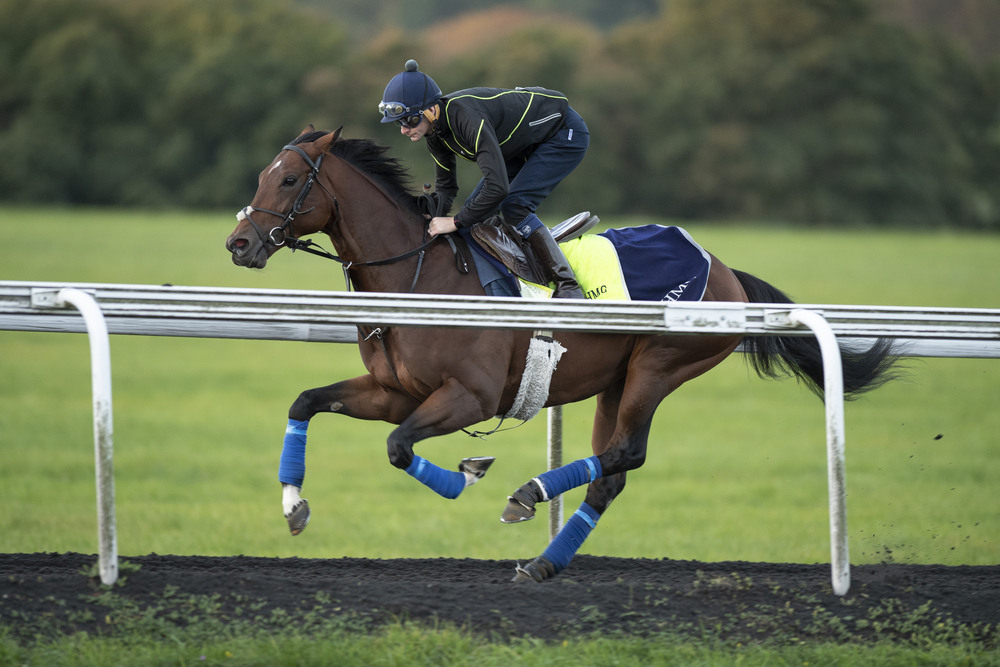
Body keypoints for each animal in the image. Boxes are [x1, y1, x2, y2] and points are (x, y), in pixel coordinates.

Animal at [227, 126, 900, 584]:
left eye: (289, 179)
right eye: (263, 174)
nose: (238, 244)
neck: (421, 276)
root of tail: (727, 270)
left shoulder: (468, 396)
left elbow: (399, 448)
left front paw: (469, 473)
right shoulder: (397, 392)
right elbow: (308, 402)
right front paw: (294, 506)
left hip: (660, 364)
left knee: (625, 454)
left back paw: (529, 495)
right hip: (617, 380)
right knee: (613, 470)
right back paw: (545, 561)